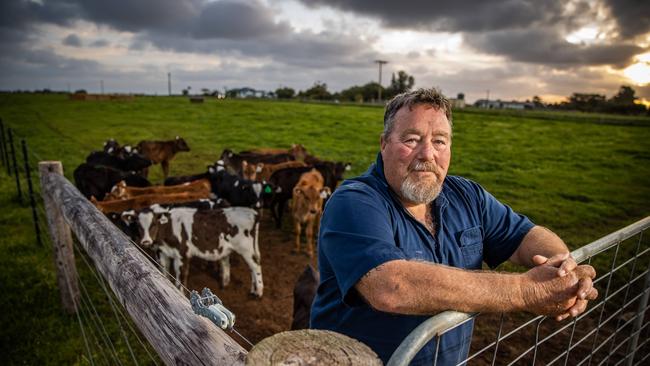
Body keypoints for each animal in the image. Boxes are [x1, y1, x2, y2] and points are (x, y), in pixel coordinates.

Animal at [123, 204, 262, 296]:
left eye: (153, 224)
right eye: (138, 225)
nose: (146, 241)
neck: (169, 228)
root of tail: (252, 212)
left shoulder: (182, 255)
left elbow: (180, 279)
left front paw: (180, 294)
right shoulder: (162, 253)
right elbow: (164, 272)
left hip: (246, 248)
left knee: (255, 266)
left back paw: (258, 293)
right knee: (234, 264)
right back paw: (230, 285)